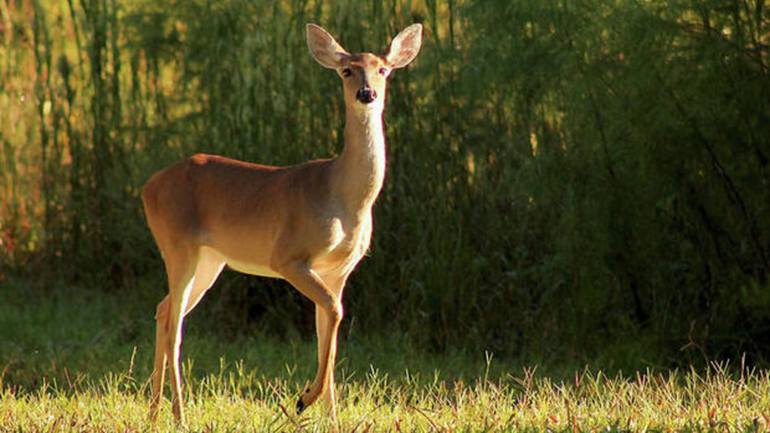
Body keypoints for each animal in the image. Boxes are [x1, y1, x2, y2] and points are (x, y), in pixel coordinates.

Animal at [141, 22, 424, 424]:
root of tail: (148, 187)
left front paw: (331, 419)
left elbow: (328, 331)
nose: (366, 93)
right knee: (174, 325)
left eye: (383, 69)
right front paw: (304, 399)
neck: (342, 195)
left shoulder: (339, 269)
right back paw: (180, 416)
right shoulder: (288, 257)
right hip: (178, 245)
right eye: (346, 70)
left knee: (164, 309)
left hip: (210, 260)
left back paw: (154, 413)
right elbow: (335, 312)